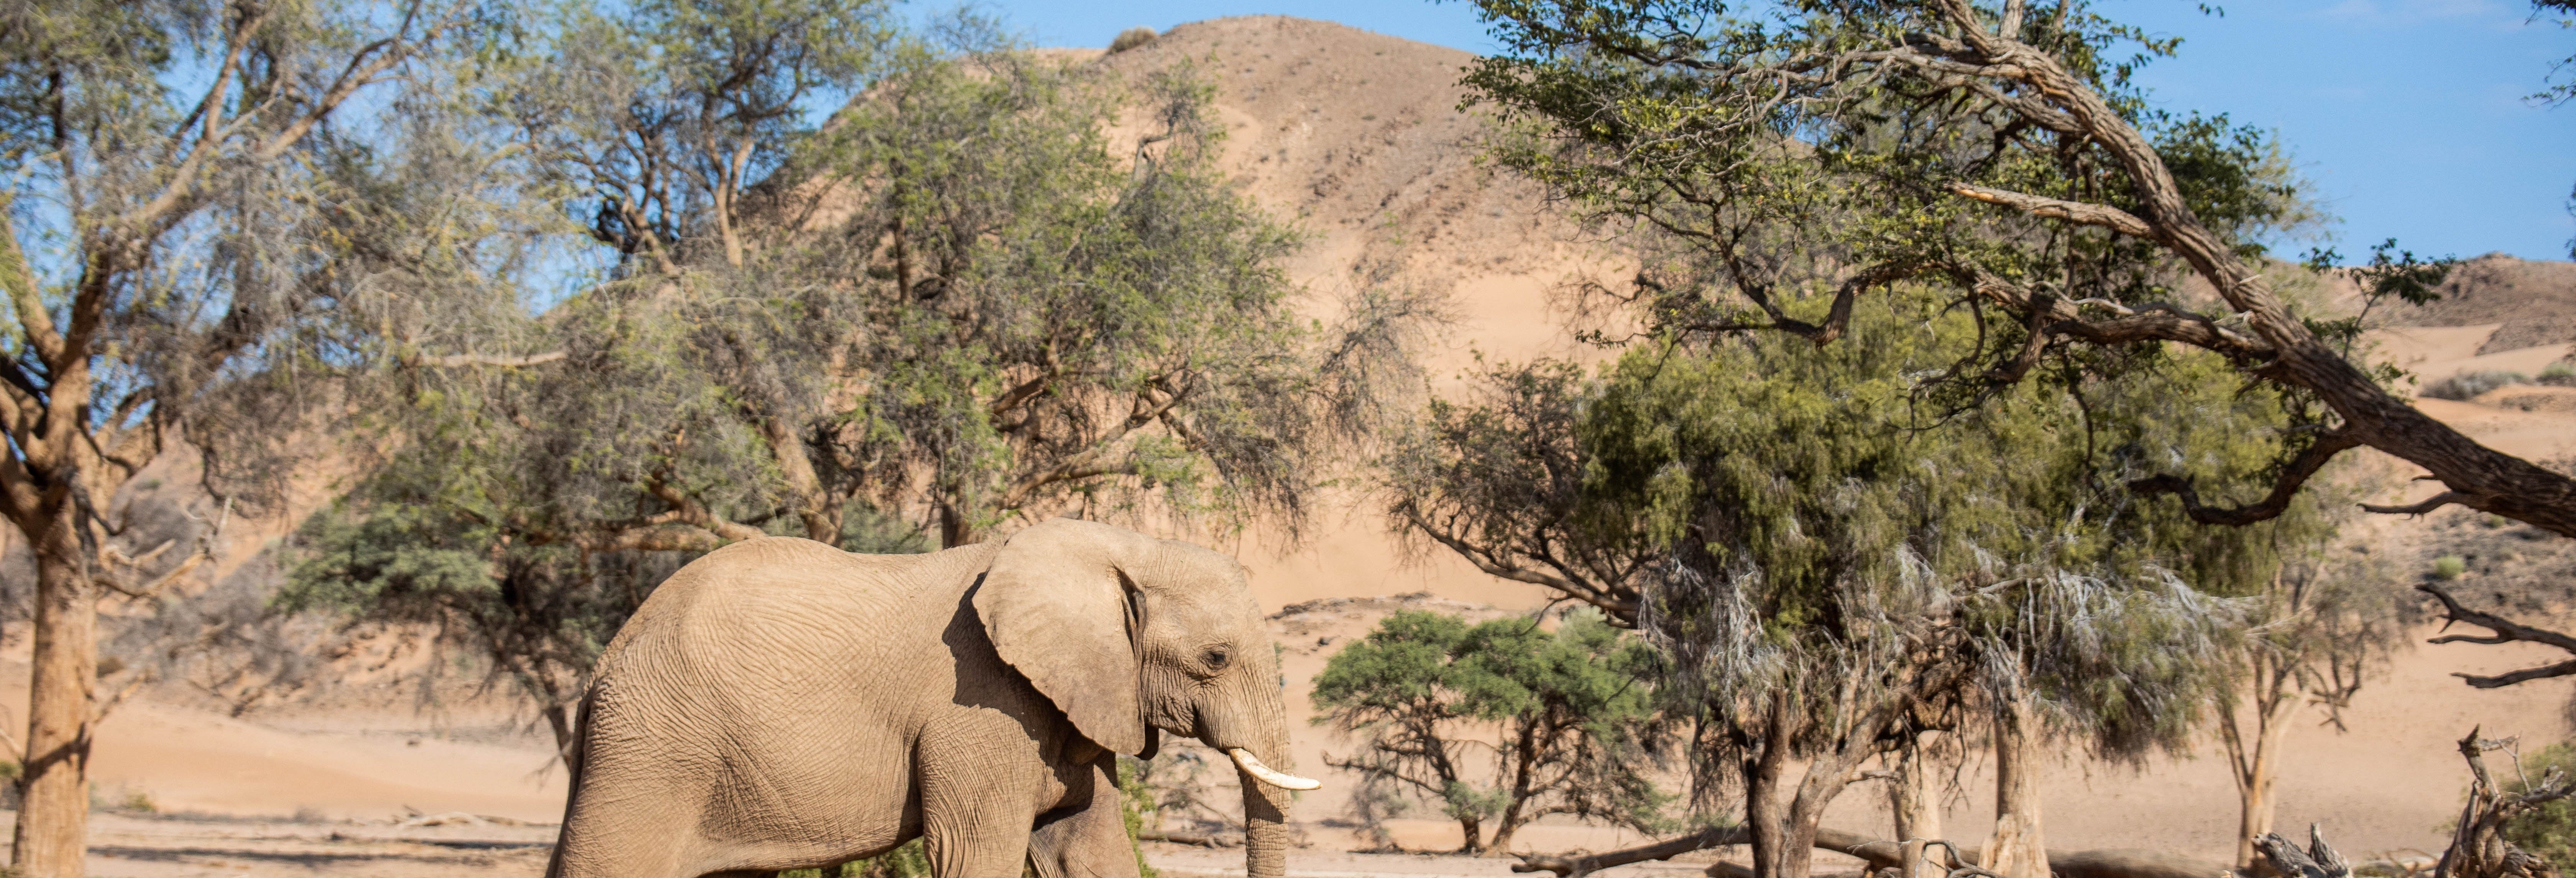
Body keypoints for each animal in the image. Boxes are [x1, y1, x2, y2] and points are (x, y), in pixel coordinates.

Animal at [541, 512, 1308, 875]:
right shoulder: (982, 707)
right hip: (653, 748)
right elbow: (975, 853)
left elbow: (1089, 849)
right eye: (1216, 658)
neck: (1117, 545)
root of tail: (605, 661)